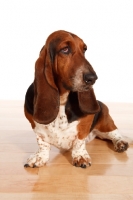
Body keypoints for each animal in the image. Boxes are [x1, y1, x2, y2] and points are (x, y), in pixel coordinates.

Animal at [24, 29, 131, 167]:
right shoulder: (35, 126)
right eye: (65, 49)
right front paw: (39, 158)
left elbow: (79, 141)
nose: (92, 78)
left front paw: (80, 156)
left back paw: (121, 143)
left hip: (105, 121)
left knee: (114, 133)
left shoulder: (86, 122)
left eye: (84, 49)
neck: (62, 99)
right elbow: (42, 142)